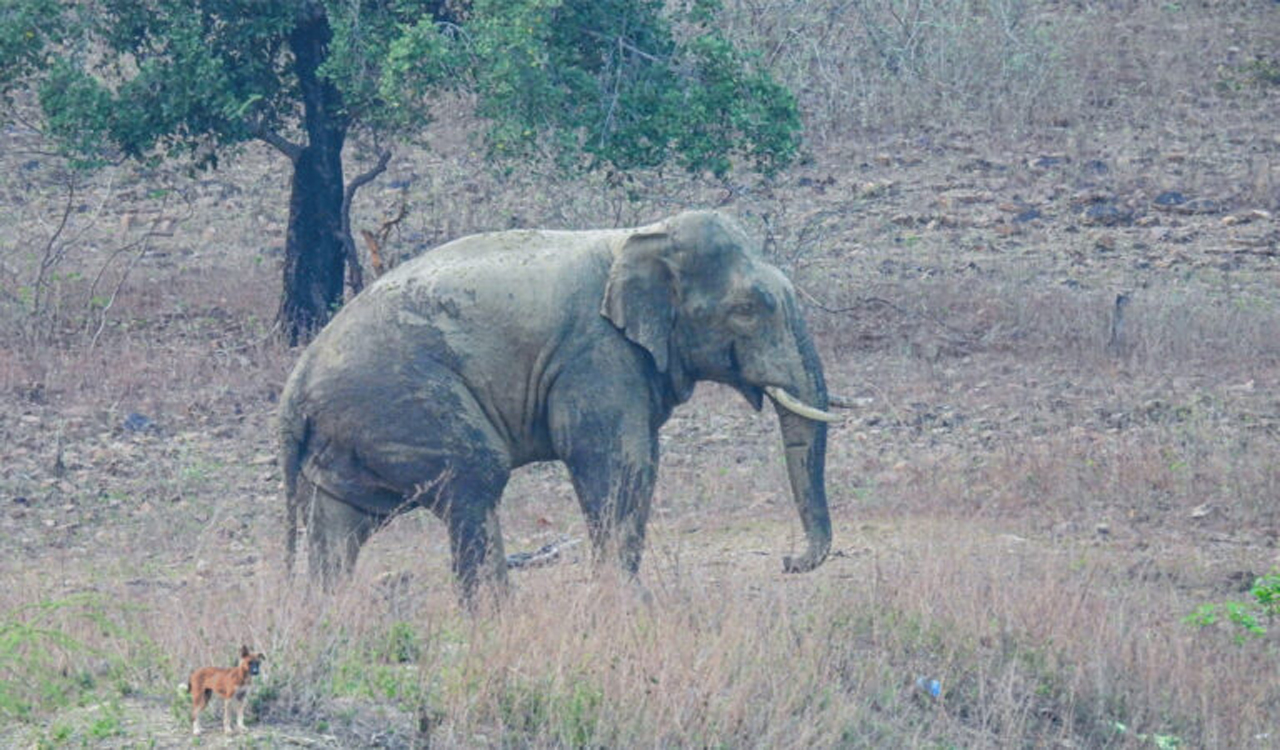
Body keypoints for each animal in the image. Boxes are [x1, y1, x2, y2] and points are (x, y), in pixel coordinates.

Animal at [279, 209, 837, 600]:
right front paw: (626, 602)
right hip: (404, 399)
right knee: (474, 481)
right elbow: (615, 460)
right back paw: (498, 616)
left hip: (354, 429)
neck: (639, 235)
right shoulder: (594, 355)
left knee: (342, 521)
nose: (788, 562)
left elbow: (640, 460)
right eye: (748, 308)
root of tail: (293, 389)